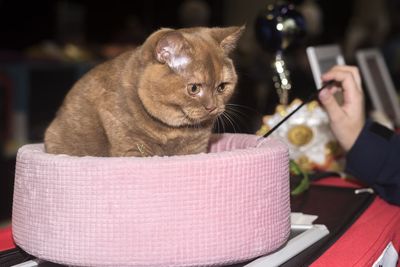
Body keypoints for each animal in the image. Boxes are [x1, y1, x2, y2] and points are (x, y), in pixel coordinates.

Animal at [43, 25, 244, 157]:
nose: (212, 107)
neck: (172, 131)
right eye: (194, 88)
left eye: (222, 87)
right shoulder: (130, 147)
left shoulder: (196, 149)